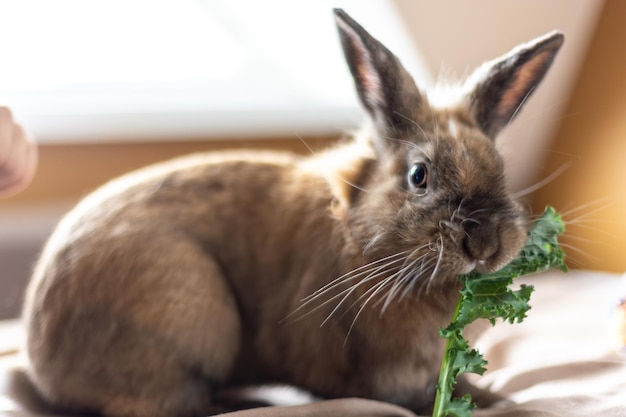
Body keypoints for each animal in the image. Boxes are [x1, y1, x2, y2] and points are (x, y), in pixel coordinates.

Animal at [22, 7, 564, 416]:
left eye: (500, 169)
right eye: (419, 176)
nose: (485, 244)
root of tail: (38, 361)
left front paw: (498, 399)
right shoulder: (382, 382)